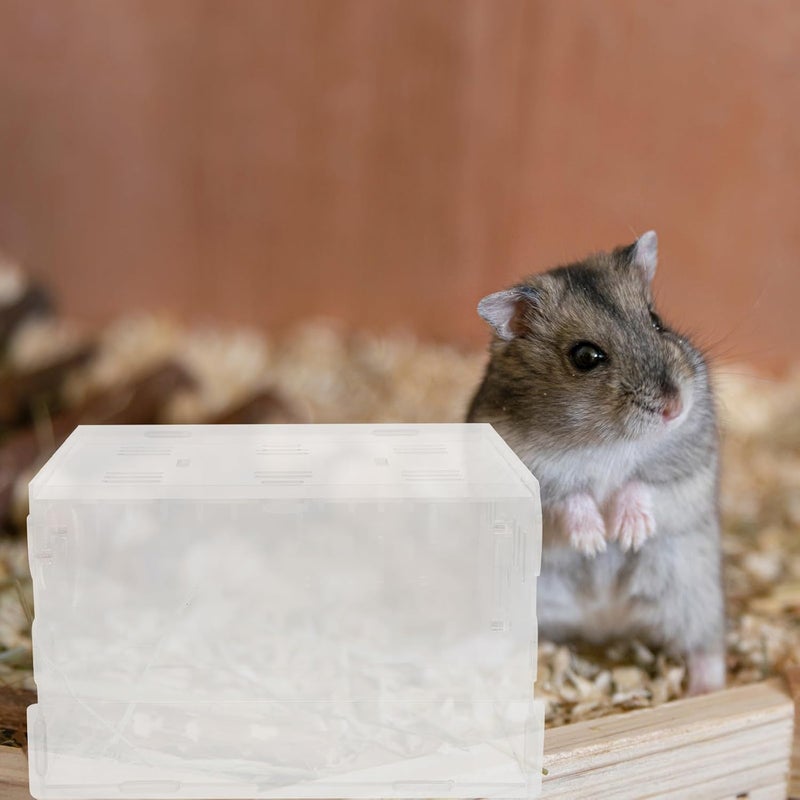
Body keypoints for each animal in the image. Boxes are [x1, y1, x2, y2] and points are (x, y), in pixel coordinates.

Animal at [466, 231, 725, 695]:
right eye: (585, 357)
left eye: (656, 320)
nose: (675, 407)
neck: (607, 442)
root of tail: (604, 622)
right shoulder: (533, 479)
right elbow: (568, 497)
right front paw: (594, 542)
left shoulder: (688, 462)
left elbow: (642, 484)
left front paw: (626, 534)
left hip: (693, 590)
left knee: (705, 646)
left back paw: (706, 690)